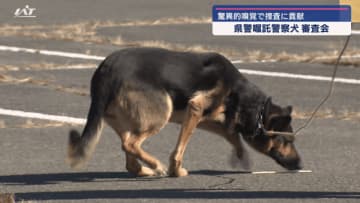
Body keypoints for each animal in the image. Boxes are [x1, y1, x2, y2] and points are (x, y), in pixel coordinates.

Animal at [67, 47, 300, 176]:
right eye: (287, 141)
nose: (300, 164)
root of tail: (106, 69)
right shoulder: (196, 109)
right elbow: (180, 148)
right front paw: (175, 171)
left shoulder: (208, 118)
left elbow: (232, 135)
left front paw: (241, 156)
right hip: (162, 111)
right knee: (130, 144)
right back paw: (155, 165)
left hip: (121, 118)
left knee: (128, 153)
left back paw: (144, 170)